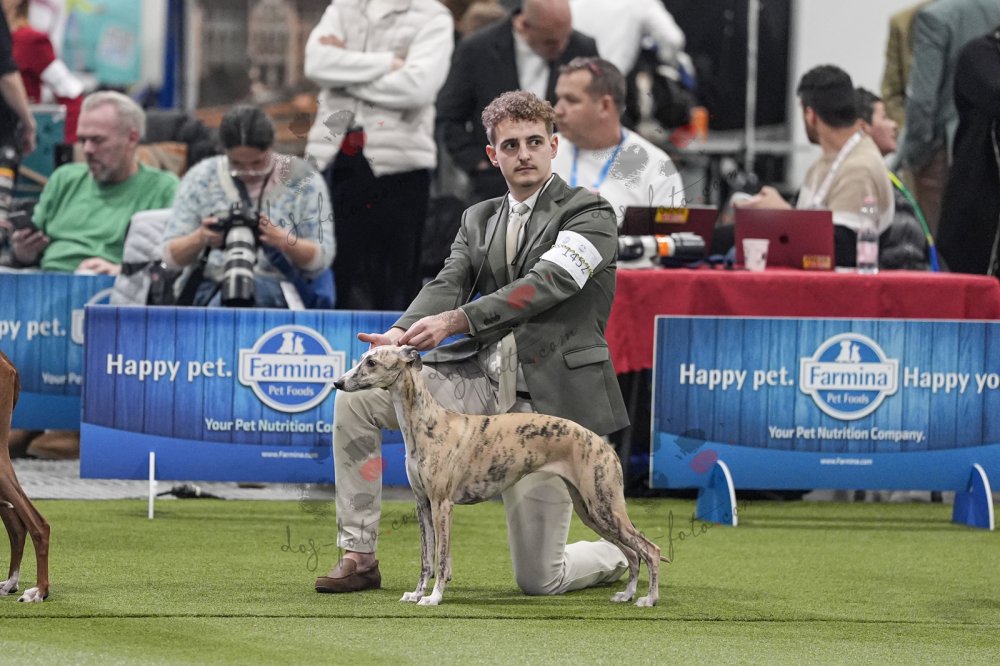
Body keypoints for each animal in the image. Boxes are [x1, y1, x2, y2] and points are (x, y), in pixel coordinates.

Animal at [333, 345, 665, 607]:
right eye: (363, 358)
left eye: (371, 362)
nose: (337, 382)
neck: (427, 424)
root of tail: (605, 445)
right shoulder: (423, 505)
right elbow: (426, 559)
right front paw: (416, 594)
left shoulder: (442, 504)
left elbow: (441, 557)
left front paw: (434, 597)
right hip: (591, 510)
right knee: (631, 553)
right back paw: (627, 594)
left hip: (604, 505)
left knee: (649, 549)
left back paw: (648, 598)